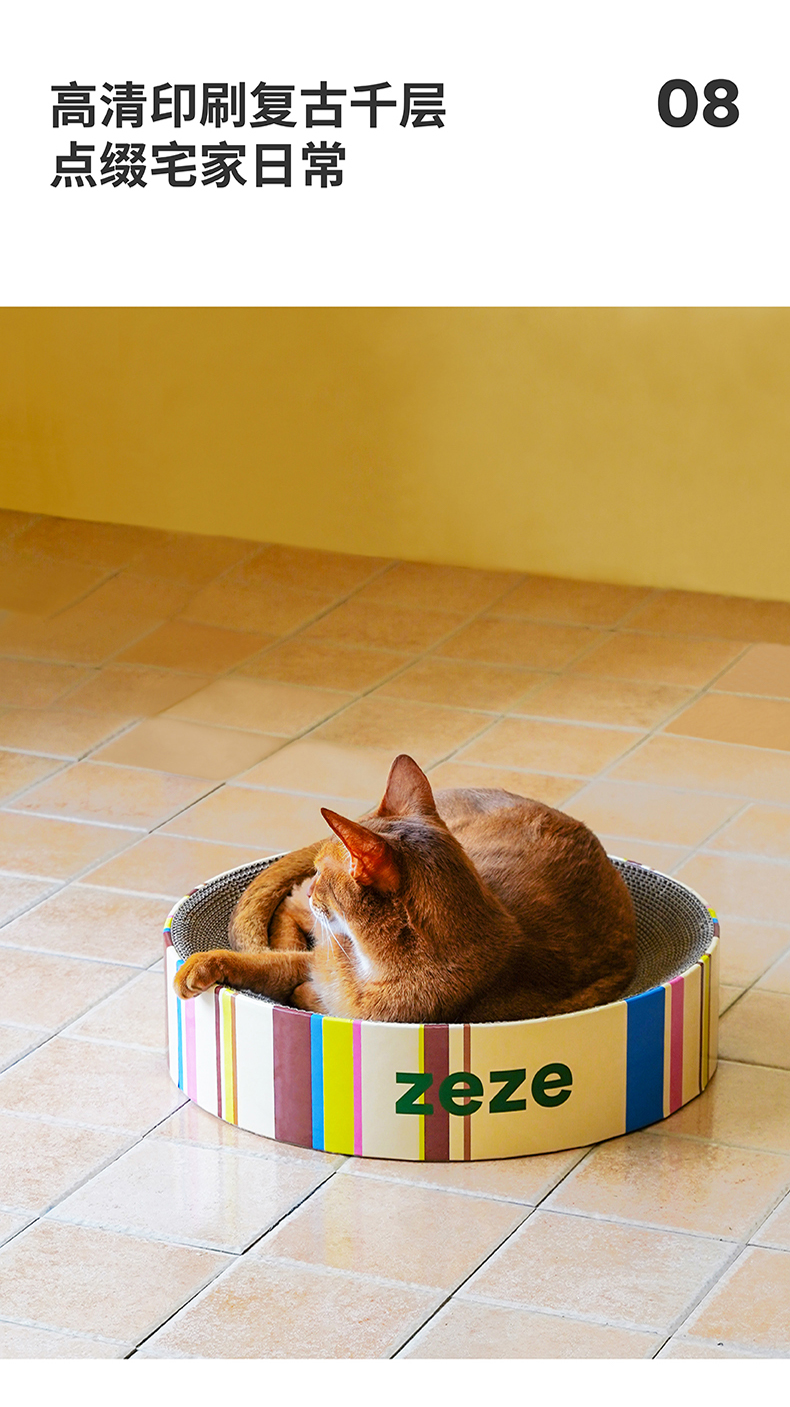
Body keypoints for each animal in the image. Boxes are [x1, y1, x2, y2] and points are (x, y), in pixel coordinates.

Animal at [173, 753, 637, 1023]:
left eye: (327, 873)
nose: (315, 887)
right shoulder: (319, 962)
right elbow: (265, 964)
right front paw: (199, 966)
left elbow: (304, 990)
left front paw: (300, 993)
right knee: (287, 907)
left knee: (291, 905)